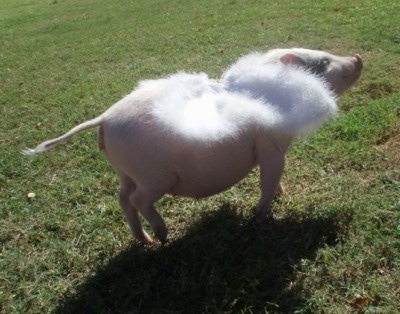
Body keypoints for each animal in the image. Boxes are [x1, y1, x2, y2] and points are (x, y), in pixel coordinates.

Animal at [24, 49, 362, 245]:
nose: (358, 57)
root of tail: (105, 118)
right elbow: (270, 178)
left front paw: (282, 196)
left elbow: (273, 180)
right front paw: (260, 216)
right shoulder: (271, 148)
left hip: (124, 170)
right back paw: (162, 236)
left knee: (122, 198)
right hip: (154, 176)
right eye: (323, 63)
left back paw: (145, 241)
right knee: (136, 199)